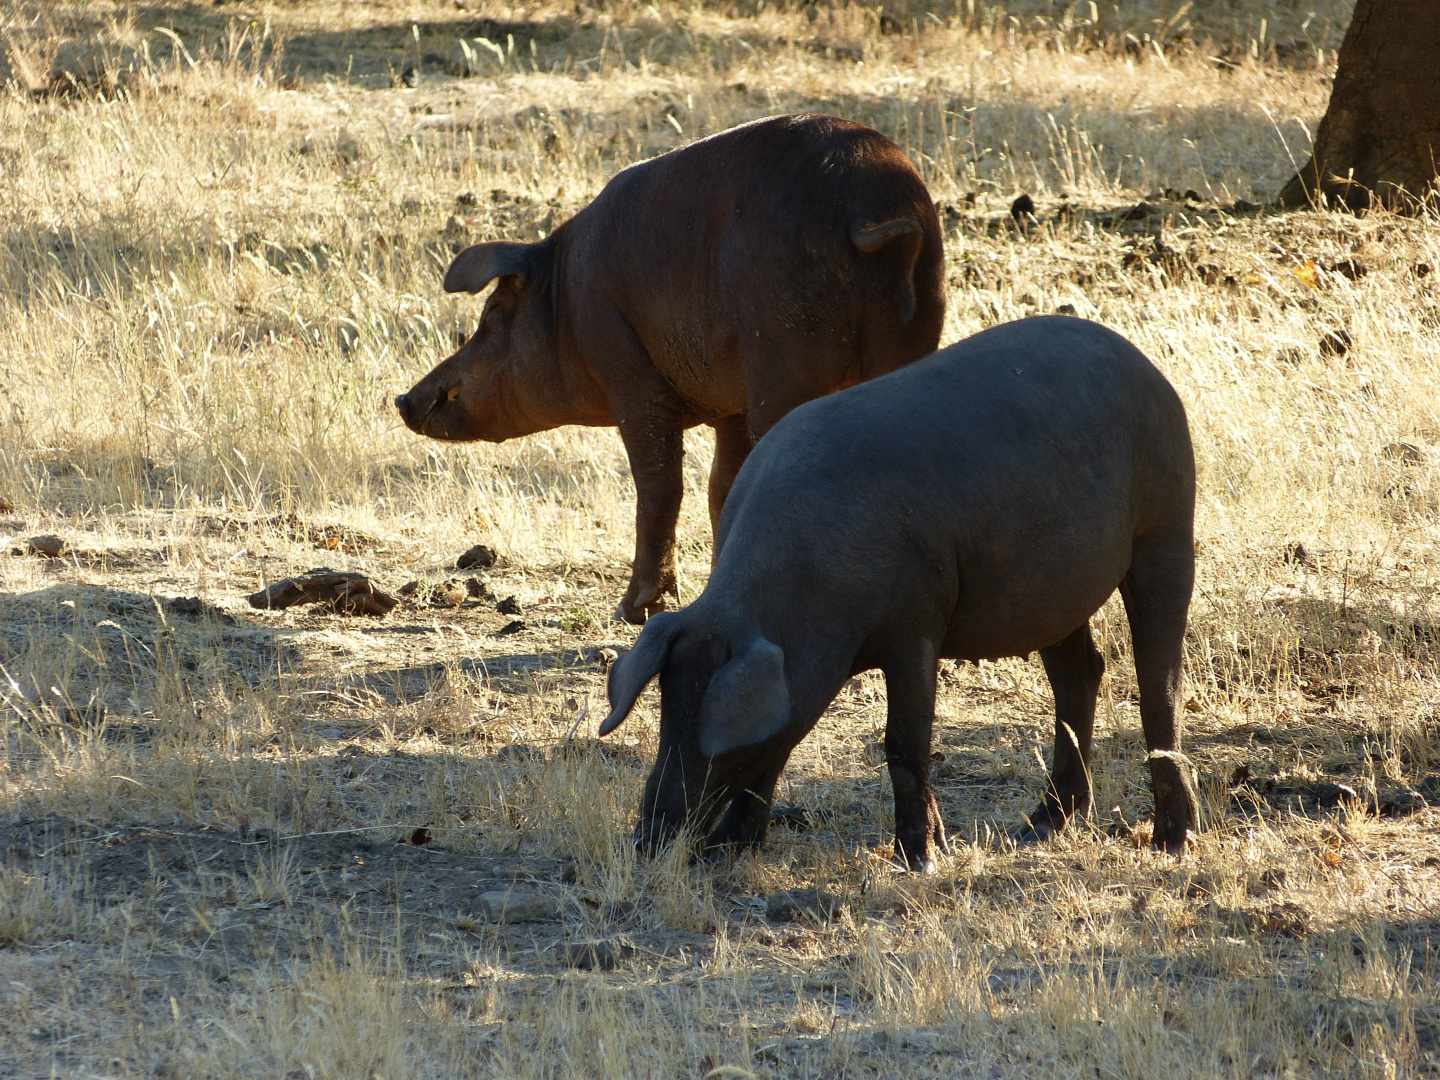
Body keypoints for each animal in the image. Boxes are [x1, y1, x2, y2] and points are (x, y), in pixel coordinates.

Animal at [400, 113, 950, 622]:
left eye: (492, 312)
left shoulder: (629, 375)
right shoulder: (731, 405)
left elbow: (660, 486)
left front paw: (634, 610)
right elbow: (721, 485)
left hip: (786, 359)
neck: (564, 304)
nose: (403, 399)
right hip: (911, 339)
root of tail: (872, 215)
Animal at [601, 315, 1198, 869]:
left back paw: (1172, 841)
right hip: (1054, 593)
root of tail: (1142, 364)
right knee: (1081, 672)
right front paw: (733, 847)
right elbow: (784, 744)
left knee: (1159, 679)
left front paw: (921, 860)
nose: (647, 839)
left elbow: (904, 745)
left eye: (715, 734)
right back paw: (1039, 827)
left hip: (1167, 523)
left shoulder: (917, 625)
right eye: (667, 713)